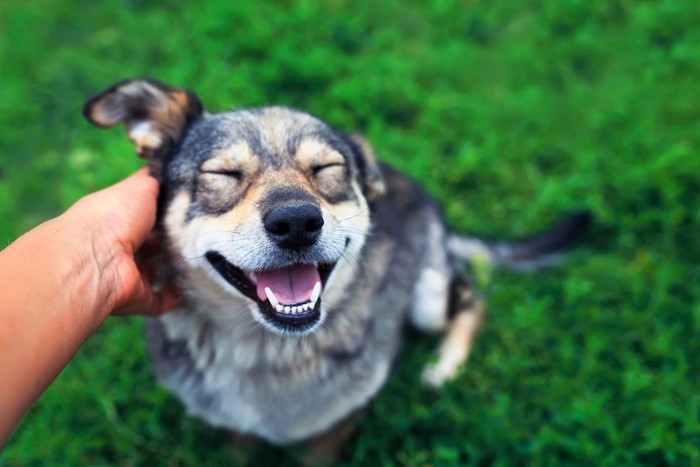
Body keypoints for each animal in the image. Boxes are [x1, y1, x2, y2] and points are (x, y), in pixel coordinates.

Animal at [82, 79, 592, 460]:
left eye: (327, 168)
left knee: (472, 299)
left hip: (427, 293)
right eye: (223, 174)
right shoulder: (237, 431)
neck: (266, 353)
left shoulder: (333, 431)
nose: (296, 223)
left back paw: (444, 368)